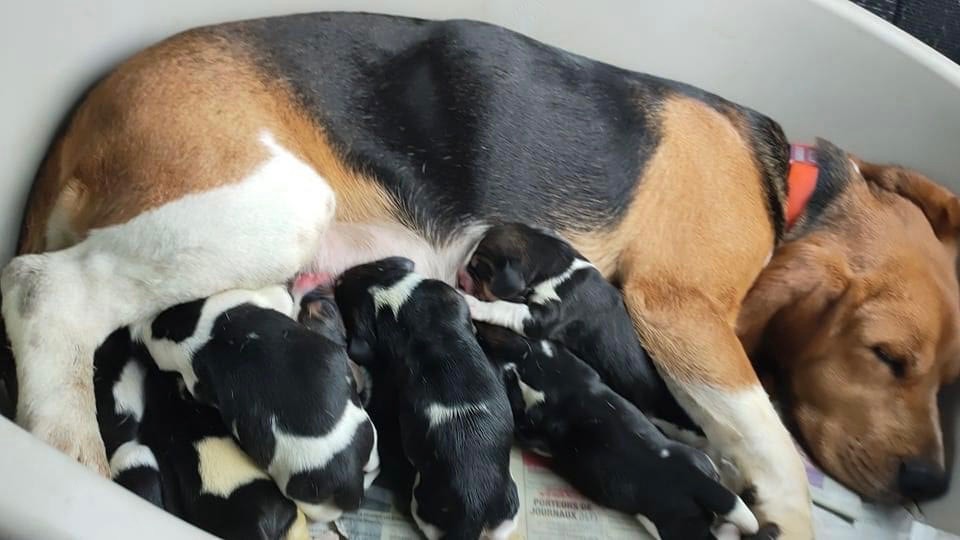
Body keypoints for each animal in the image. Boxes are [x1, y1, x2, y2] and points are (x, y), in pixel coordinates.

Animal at [336, 258, 520, 540]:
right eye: (373, 266)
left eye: (344, 291)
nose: (338, 278)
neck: (389, 293)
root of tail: (473, 506)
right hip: (504, 505)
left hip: (429, 502)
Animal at [458, 221, 688, 428]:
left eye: (477, 268)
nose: (459, 275)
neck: (556, 266)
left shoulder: (543, 316)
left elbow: (503, 308)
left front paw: (473, 304)